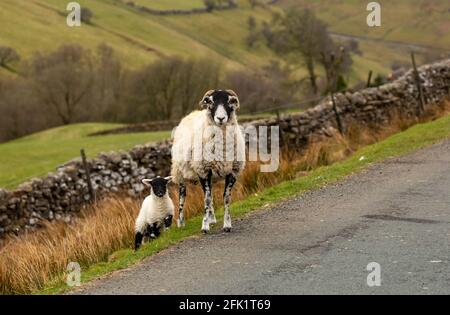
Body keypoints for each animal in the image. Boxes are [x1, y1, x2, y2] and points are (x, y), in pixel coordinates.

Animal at [171, 89, 246, 235]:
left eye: (230, 101)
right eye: (210, 101)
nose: (221, 118)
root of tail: (191, 114)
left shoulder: (232, 172)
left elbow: (225, 198)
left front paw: (227, 224)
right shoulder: (204, 170)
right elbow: (206, 199)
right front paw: (204, 226)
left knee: (208, 194)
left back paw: (212, 218)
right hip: (180, 173)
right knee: (183, 196)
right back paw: (181, 222)